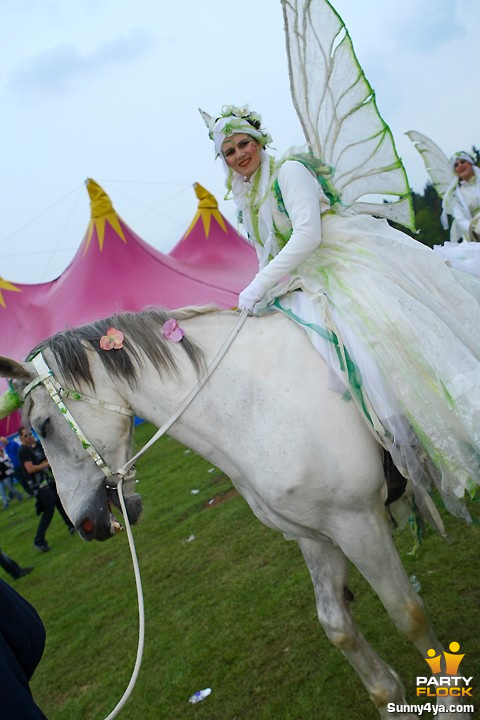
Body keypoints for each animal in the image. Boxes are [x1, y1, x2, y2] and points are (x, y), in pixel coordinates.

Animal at [0, 308, 472, 720]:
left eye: (42, 426)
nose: (84, 525)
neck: (254, 405)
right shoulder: (315, 534)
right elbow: (337, 625)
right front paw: (389, 697)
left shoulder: (359, 523)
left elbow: (408, 614)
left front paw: (448, 706)